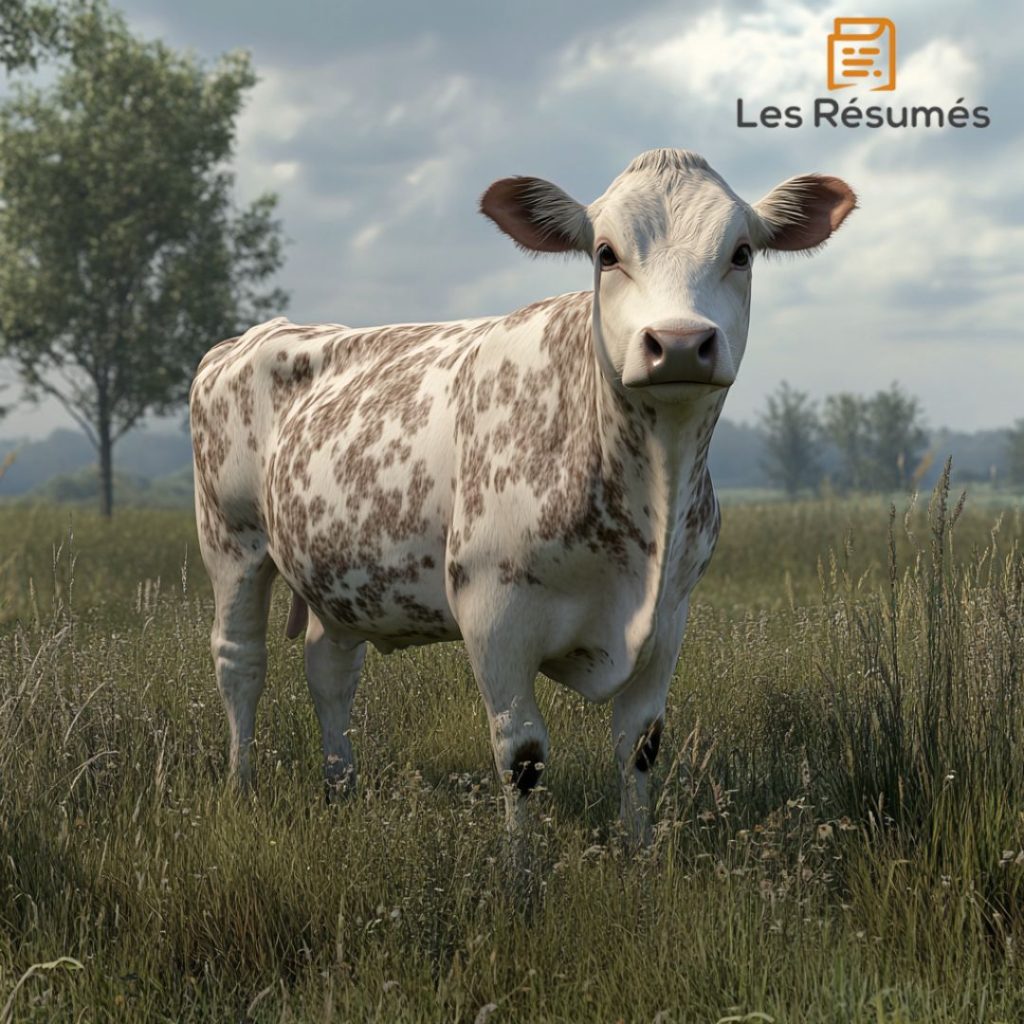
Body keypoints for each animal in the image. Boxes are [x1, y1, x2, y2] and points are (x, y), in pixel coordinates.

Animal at [190, 148, 855, 843]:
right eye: (605, 254)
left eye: (742, 252)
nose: (677, 342)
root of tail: (255, 335)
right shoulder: (493, 611)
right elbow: (522, 757)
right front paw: (520, 867)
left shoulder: (671, 617)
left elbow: (640, 745)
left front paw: (640, 852)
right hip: (230, 540)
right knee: (240, 662)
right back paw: (241, 786)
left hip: (337, 570)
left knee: (331, 670)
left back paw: (340, 787)